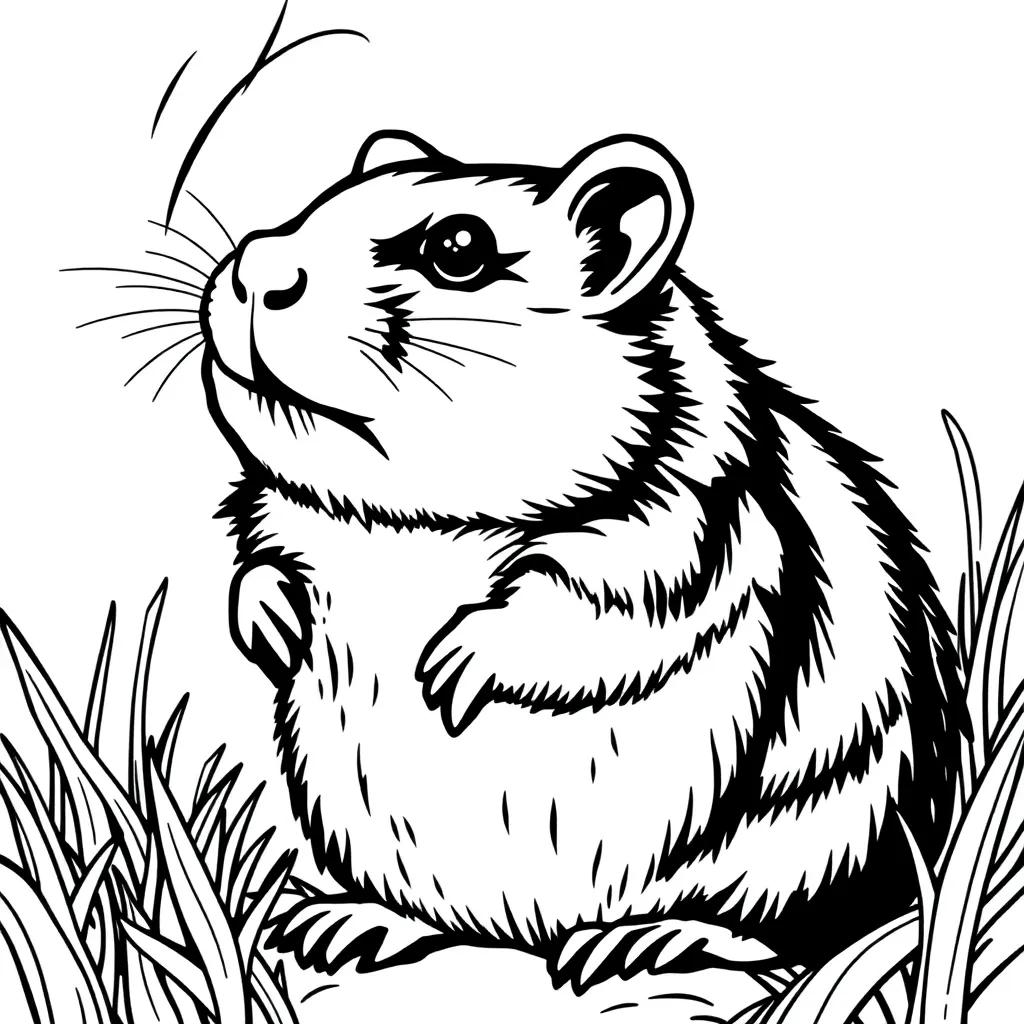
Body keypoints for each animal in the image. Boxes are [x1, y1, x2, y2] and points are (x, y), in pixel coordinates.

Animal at [198, 130, 967, 991]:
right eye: (319, 202)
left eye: (458, 248)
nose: (257, 270)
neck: (415, 529)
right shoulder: (280, 519)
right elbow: (257, 568)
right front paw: (278, 626)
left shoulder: (675, 534)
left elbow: (576, 611)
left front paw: (450, 668)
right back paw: (346, 923)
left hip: (814, 847)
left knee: (791, 933)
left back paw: (641, 941)